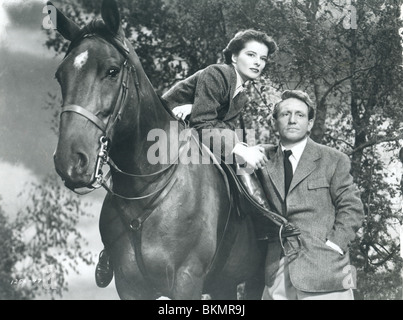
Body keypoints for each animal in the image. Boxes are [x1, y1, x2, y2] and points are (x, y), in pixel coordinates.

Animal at [50, 0, 266, 300]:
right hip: (223, 283)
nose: (70, 161)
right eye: (60, 76)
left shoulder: (187, 281)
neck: (145, 187)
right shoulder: (130, 286)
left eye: (112, 70)